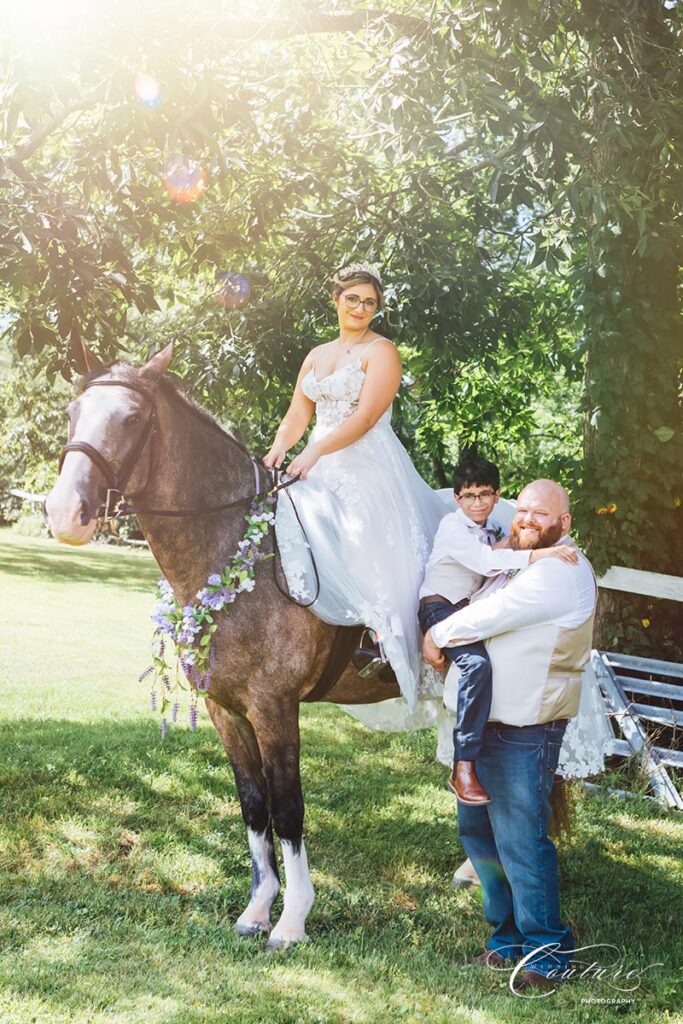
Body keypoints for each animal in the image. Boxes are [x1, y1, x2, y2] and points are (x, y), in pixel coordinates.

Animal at [46, 344, 401, 950]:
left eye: (133, 419)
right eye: (72, 413)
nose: (65, 513)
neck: (238, 543)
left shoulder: (274, 707)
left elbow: (288, 808)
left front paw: (293, 919)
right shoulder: (225, 709)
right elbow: (254, 805)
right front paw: (258, 909)